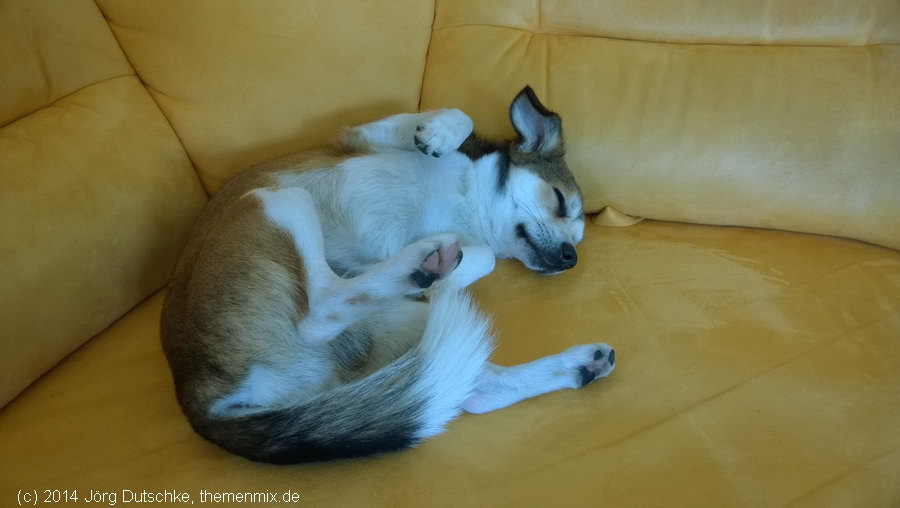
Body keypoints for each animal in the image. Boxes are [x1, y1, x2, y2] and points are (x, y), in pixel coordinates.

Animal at [160, 87, 612, 464]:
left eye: (578, 237)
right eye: (560, 201)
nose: (570, 257)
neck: (468, 207)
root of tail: (197, 400)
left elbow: (483, 256)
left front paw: (456, 268)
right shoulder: (366, 135)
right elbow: (453, 116)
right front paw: (439, 134)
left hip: (410, 327)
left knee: (471, 390)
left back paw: (580, 365)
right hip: (276, 199)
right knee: (319, 310)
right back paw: (423, 262)